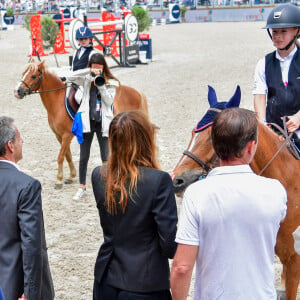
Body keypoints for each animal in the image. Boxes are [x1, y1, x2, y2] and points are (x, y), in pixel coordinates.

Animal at [14, 59, 150, 189]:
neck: (57, 102)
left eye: (33, 76)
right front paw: (71, 176)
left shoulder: (67, 135)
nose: (17, 91)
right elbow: (67, 155)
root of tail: (137, 92)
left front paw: (58, 180)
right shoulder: (59, 135)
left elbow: (60, 156)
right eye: (23, 73)